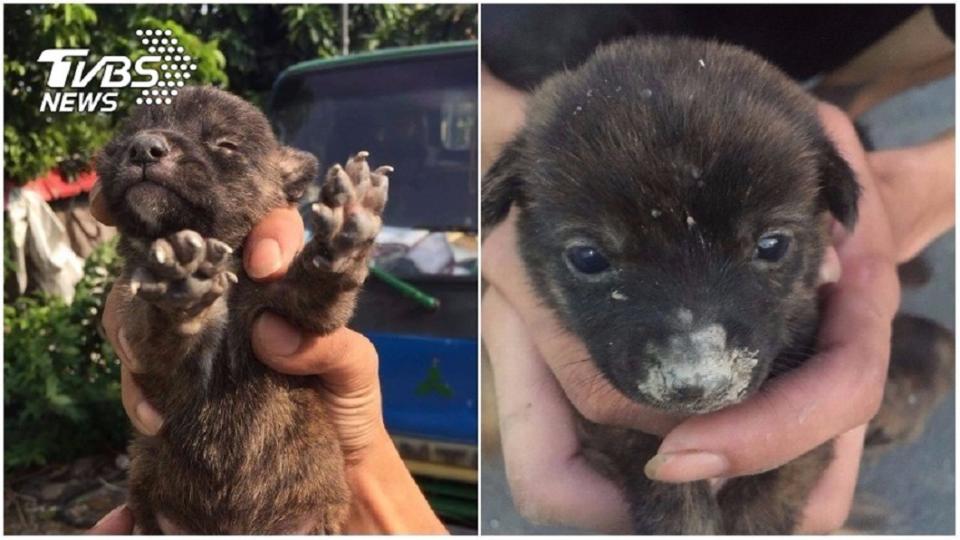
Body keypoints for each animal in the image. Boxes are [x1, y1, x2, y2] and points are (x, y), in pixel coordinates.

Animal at [96, 84, 390, 532]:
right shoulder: (139, 337)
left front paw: (344, 226)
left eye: (225, 145)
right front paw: (180, 287)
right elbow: (158, 331)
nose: (143, 146)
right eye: (126, 137)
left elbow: (316, 283)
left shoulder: (295, 309)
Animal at [484, 37, 860, 532]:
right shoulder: (609, 419)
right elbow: (659, 474)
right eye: (588, 258)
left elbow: (772, 488)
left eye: (773, 245)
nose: (696, 384)